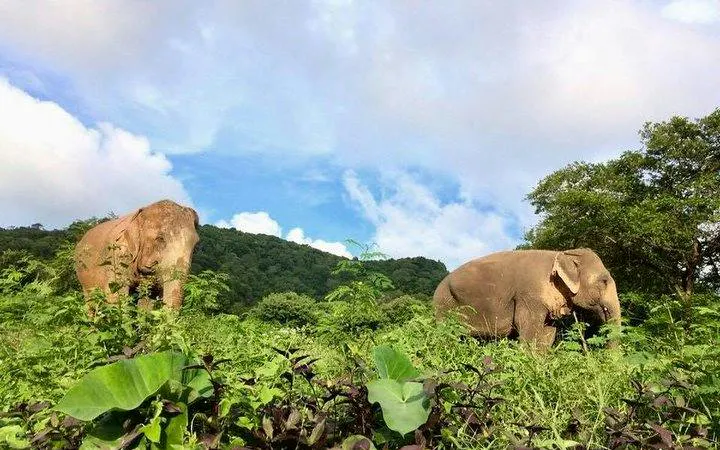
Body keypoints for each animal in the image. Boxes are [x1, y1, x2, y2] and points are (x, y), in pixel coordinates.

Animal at [433, 248, 621, 350]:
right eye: (604, 281)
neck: (563, 254)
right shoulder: (529, 295)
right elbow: (528, 329)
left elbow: (547, 333)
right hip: (444, 303)